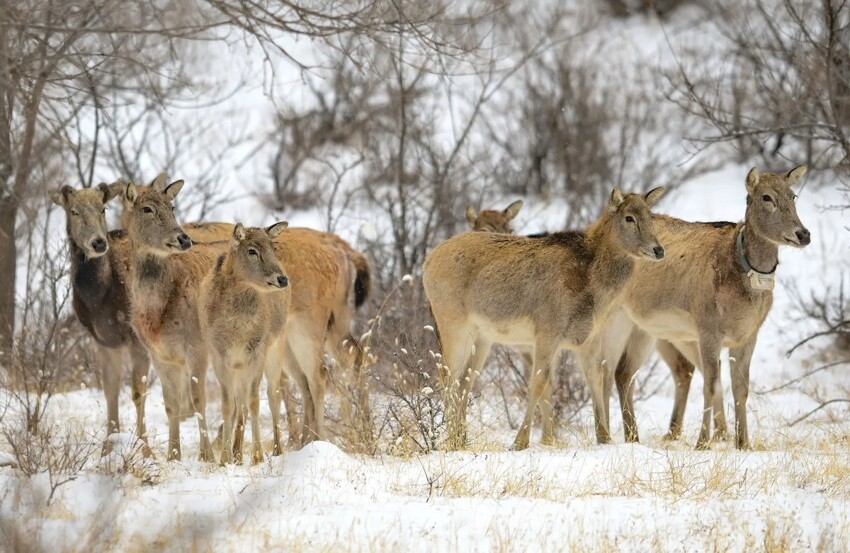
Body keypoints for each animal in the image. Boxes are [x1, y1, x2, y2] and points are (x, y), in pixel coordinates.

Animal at [199, 222, 292, 464]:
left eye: (273, 247)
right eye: (252, 250)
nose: (282, 279)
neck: (237, 332)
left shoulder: (258, 349)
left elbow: (254, 401)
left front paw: (258, 456)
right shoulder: (218, 354)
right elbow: (227, 405)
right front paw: (224, 458)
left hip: (277, 347)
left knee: (273, 395)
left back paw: (277, 449)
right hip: (239, 365)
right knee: (239, 402)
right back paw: (237, 453)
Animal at [422, 188, 664, 450]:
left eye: (651, 215)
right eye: (629, 217)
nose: (659, 250)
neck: (593, 286)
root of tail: (427, 263)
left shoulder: (589, 338)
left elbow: (594, 380)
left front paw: (604, 438)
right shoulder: (547, 330)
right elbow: (539, 382)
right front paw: (520, 442)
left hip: (481, 338)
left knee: (465, 381)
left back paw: (461, 440)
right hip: (452, 325)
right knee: (447, 376)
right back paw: (451, 441)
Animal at [608, 164, 808, 448]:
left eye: (793, 195)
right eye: (766, 197)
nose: (803, 234)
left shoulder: (748, 335)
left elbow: (741, 387)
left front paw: (743, 443)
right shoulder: (708, 329)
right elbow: (711, 385)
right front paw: (702, 443)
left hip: (661, 332)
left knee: (663, 371)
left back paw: (661, 434)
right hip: (620, 321)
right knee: (612, 372)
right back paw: (629, 437)